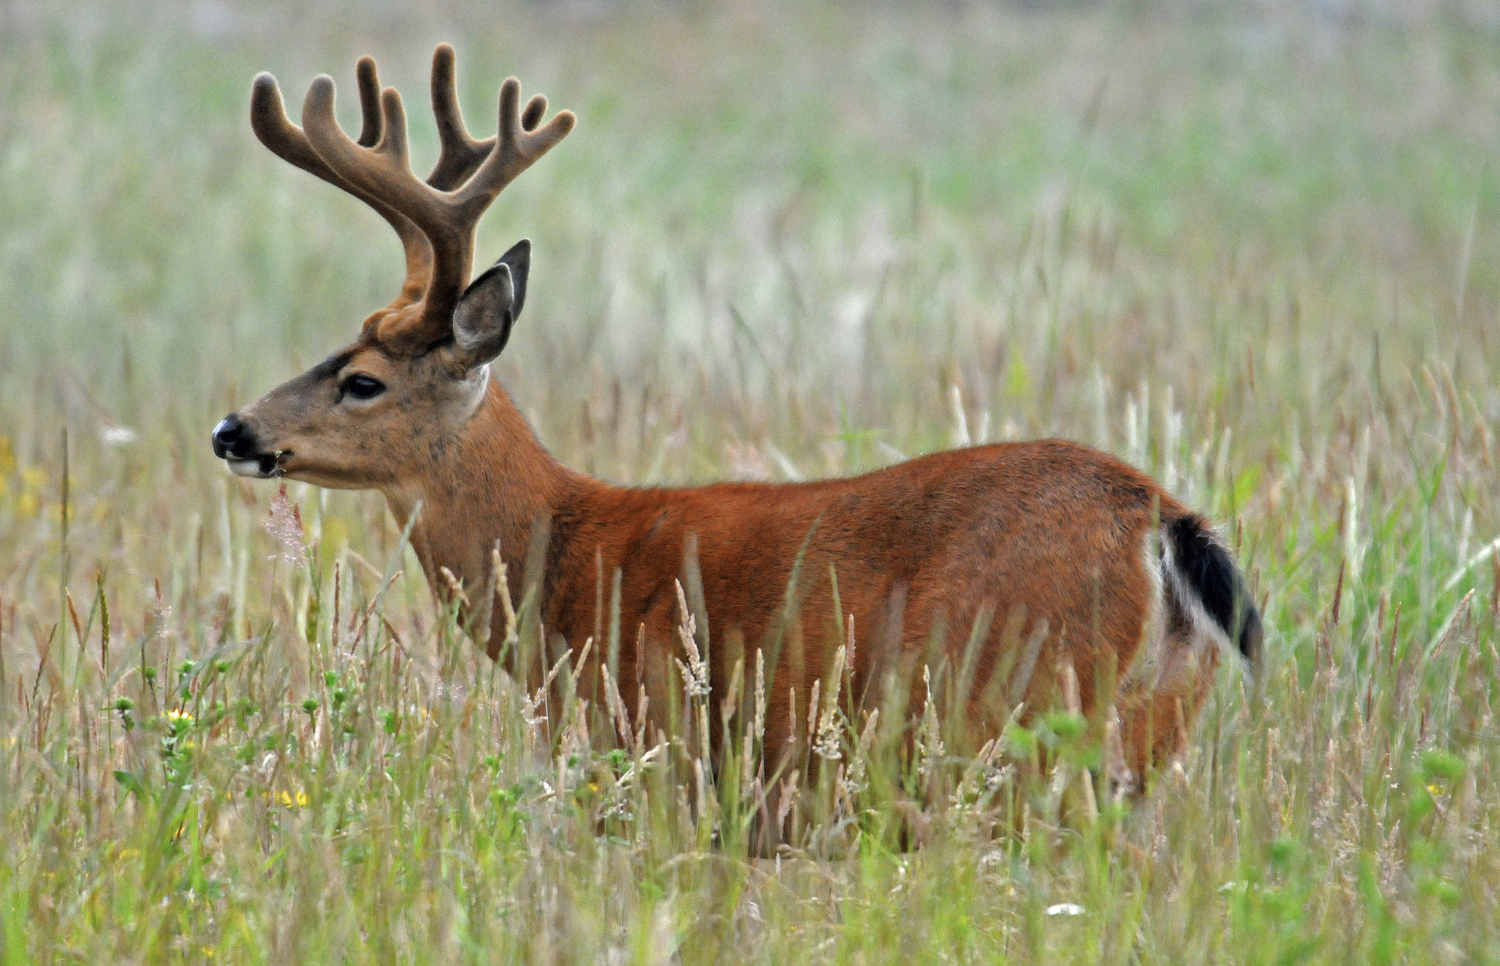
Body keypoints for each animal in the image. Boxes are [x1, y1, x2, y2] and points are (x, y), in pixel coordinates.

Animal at [214, 45, 1266, 816]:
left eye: (362, 380)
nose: (233, 429)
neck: (569, 567)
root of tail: (1159, 518)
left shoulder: (663, 745)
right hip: (1150, 724)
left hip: (1025, 707)